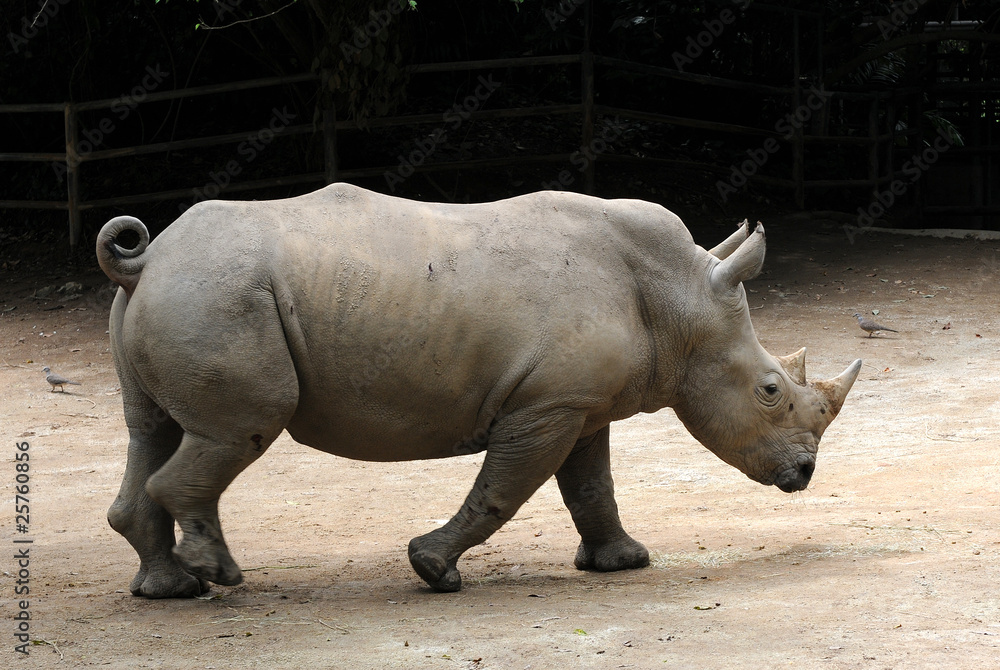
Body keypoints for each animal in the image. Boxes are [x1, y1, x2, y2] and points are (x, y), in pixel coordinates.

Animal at [97, 183, 861, 598]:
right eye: (770, 390)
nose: (804, 474)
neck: (681, 299)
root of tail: (147, 259)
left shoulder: (579, 405)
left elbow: (592, 486)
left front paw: (622, 563)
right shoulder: (546, 405)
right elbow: (505, 488)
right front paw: (433, 569)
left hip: (184, 293)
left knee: (153, 428)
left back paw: (171, 589)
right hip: (220, 296)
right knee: (237, 428)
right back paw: (219, 576)